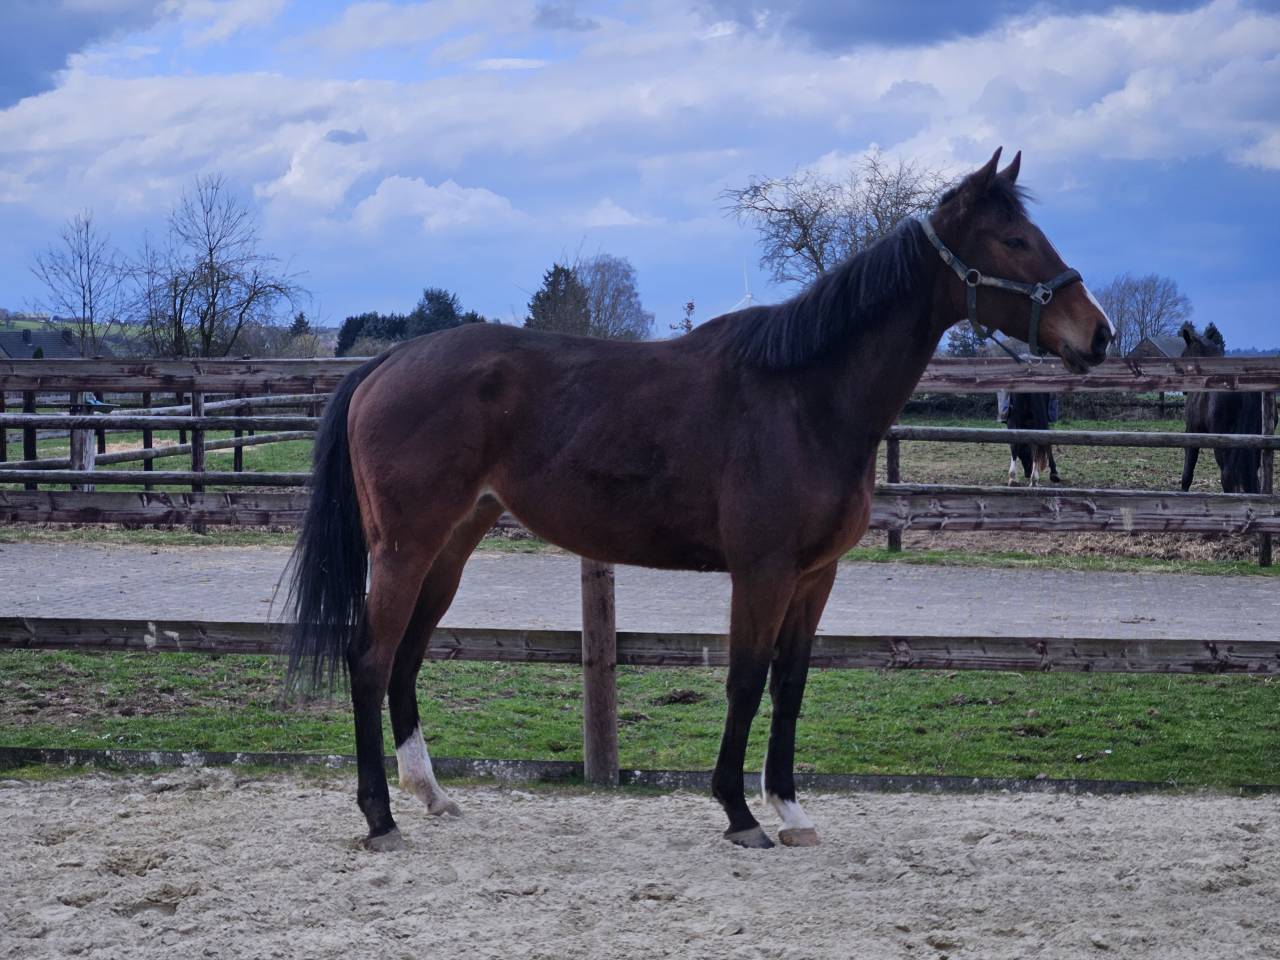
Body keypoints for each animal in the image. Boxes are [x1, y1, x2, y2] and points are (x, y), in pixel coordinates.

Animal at [287, 148, 1114, 852]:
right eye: (1013, 239)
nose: (1098, 334)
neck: (804, 397)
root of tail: (389, 360)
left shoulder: (815, 577)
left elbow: (790, 687)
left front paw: (791, 810)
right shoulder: (762, 571)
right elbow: (745, 683)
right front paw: (740, 812)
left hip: (453, 543)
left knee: (406, 658)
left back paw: (430, 794)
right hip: (405, 547)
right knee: (370, 658)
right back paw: (380, 818)